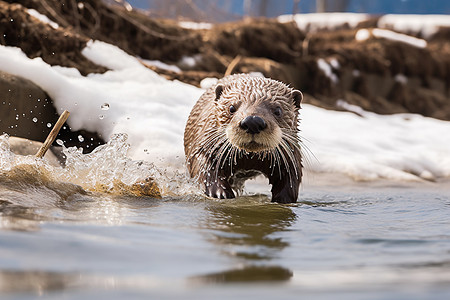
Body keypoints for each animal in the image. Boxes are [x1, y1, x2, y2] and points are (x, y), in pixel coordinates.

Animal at [183, 73, 302, 203]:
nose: (253, 121)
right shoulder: (205, 143)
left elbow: (291, 174)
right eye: (231, 108)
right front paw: (220, 193)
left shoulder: (290, 154)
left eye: (278, 110)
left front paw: (283, 199)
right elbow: (204, 167)